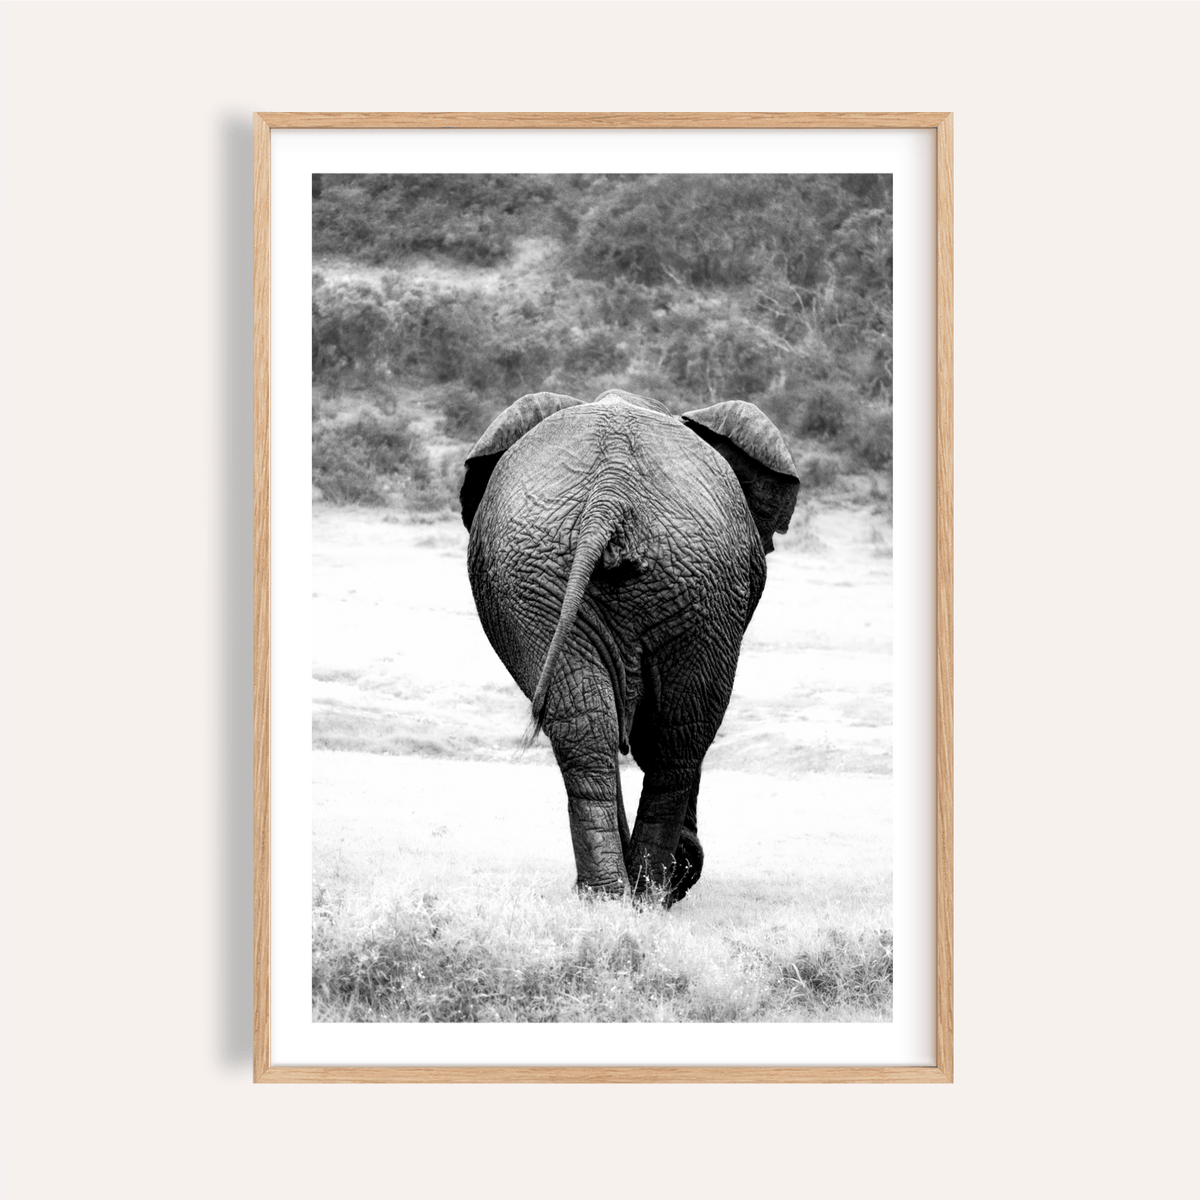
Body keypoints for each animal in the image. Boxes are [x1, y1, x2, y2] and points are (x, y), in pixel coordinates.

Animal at [460, 388, 799, 904]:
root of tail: (610, 493)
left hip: (549, 575)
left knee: (589, 724)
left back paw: (608, 896)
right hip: (688, 579)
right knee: (679, 734)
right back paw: (652, 894)